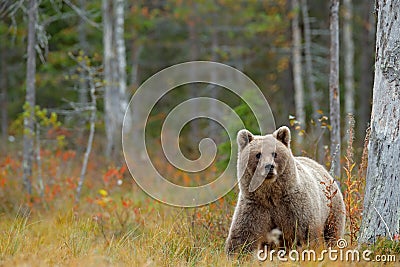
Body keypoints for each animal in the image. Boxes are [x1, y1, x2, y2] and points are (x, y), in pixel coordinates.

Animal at [227, 126, 346, 256]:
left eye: (274, 153)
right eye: (258, 154)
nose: (269, 166)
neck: (271, 195)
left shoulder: (296, 206)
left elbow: (306, 233)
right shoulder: (255, 206)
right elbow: (243, 236)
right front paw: (237, 254)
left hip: (332, 208)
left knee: (332, 232)